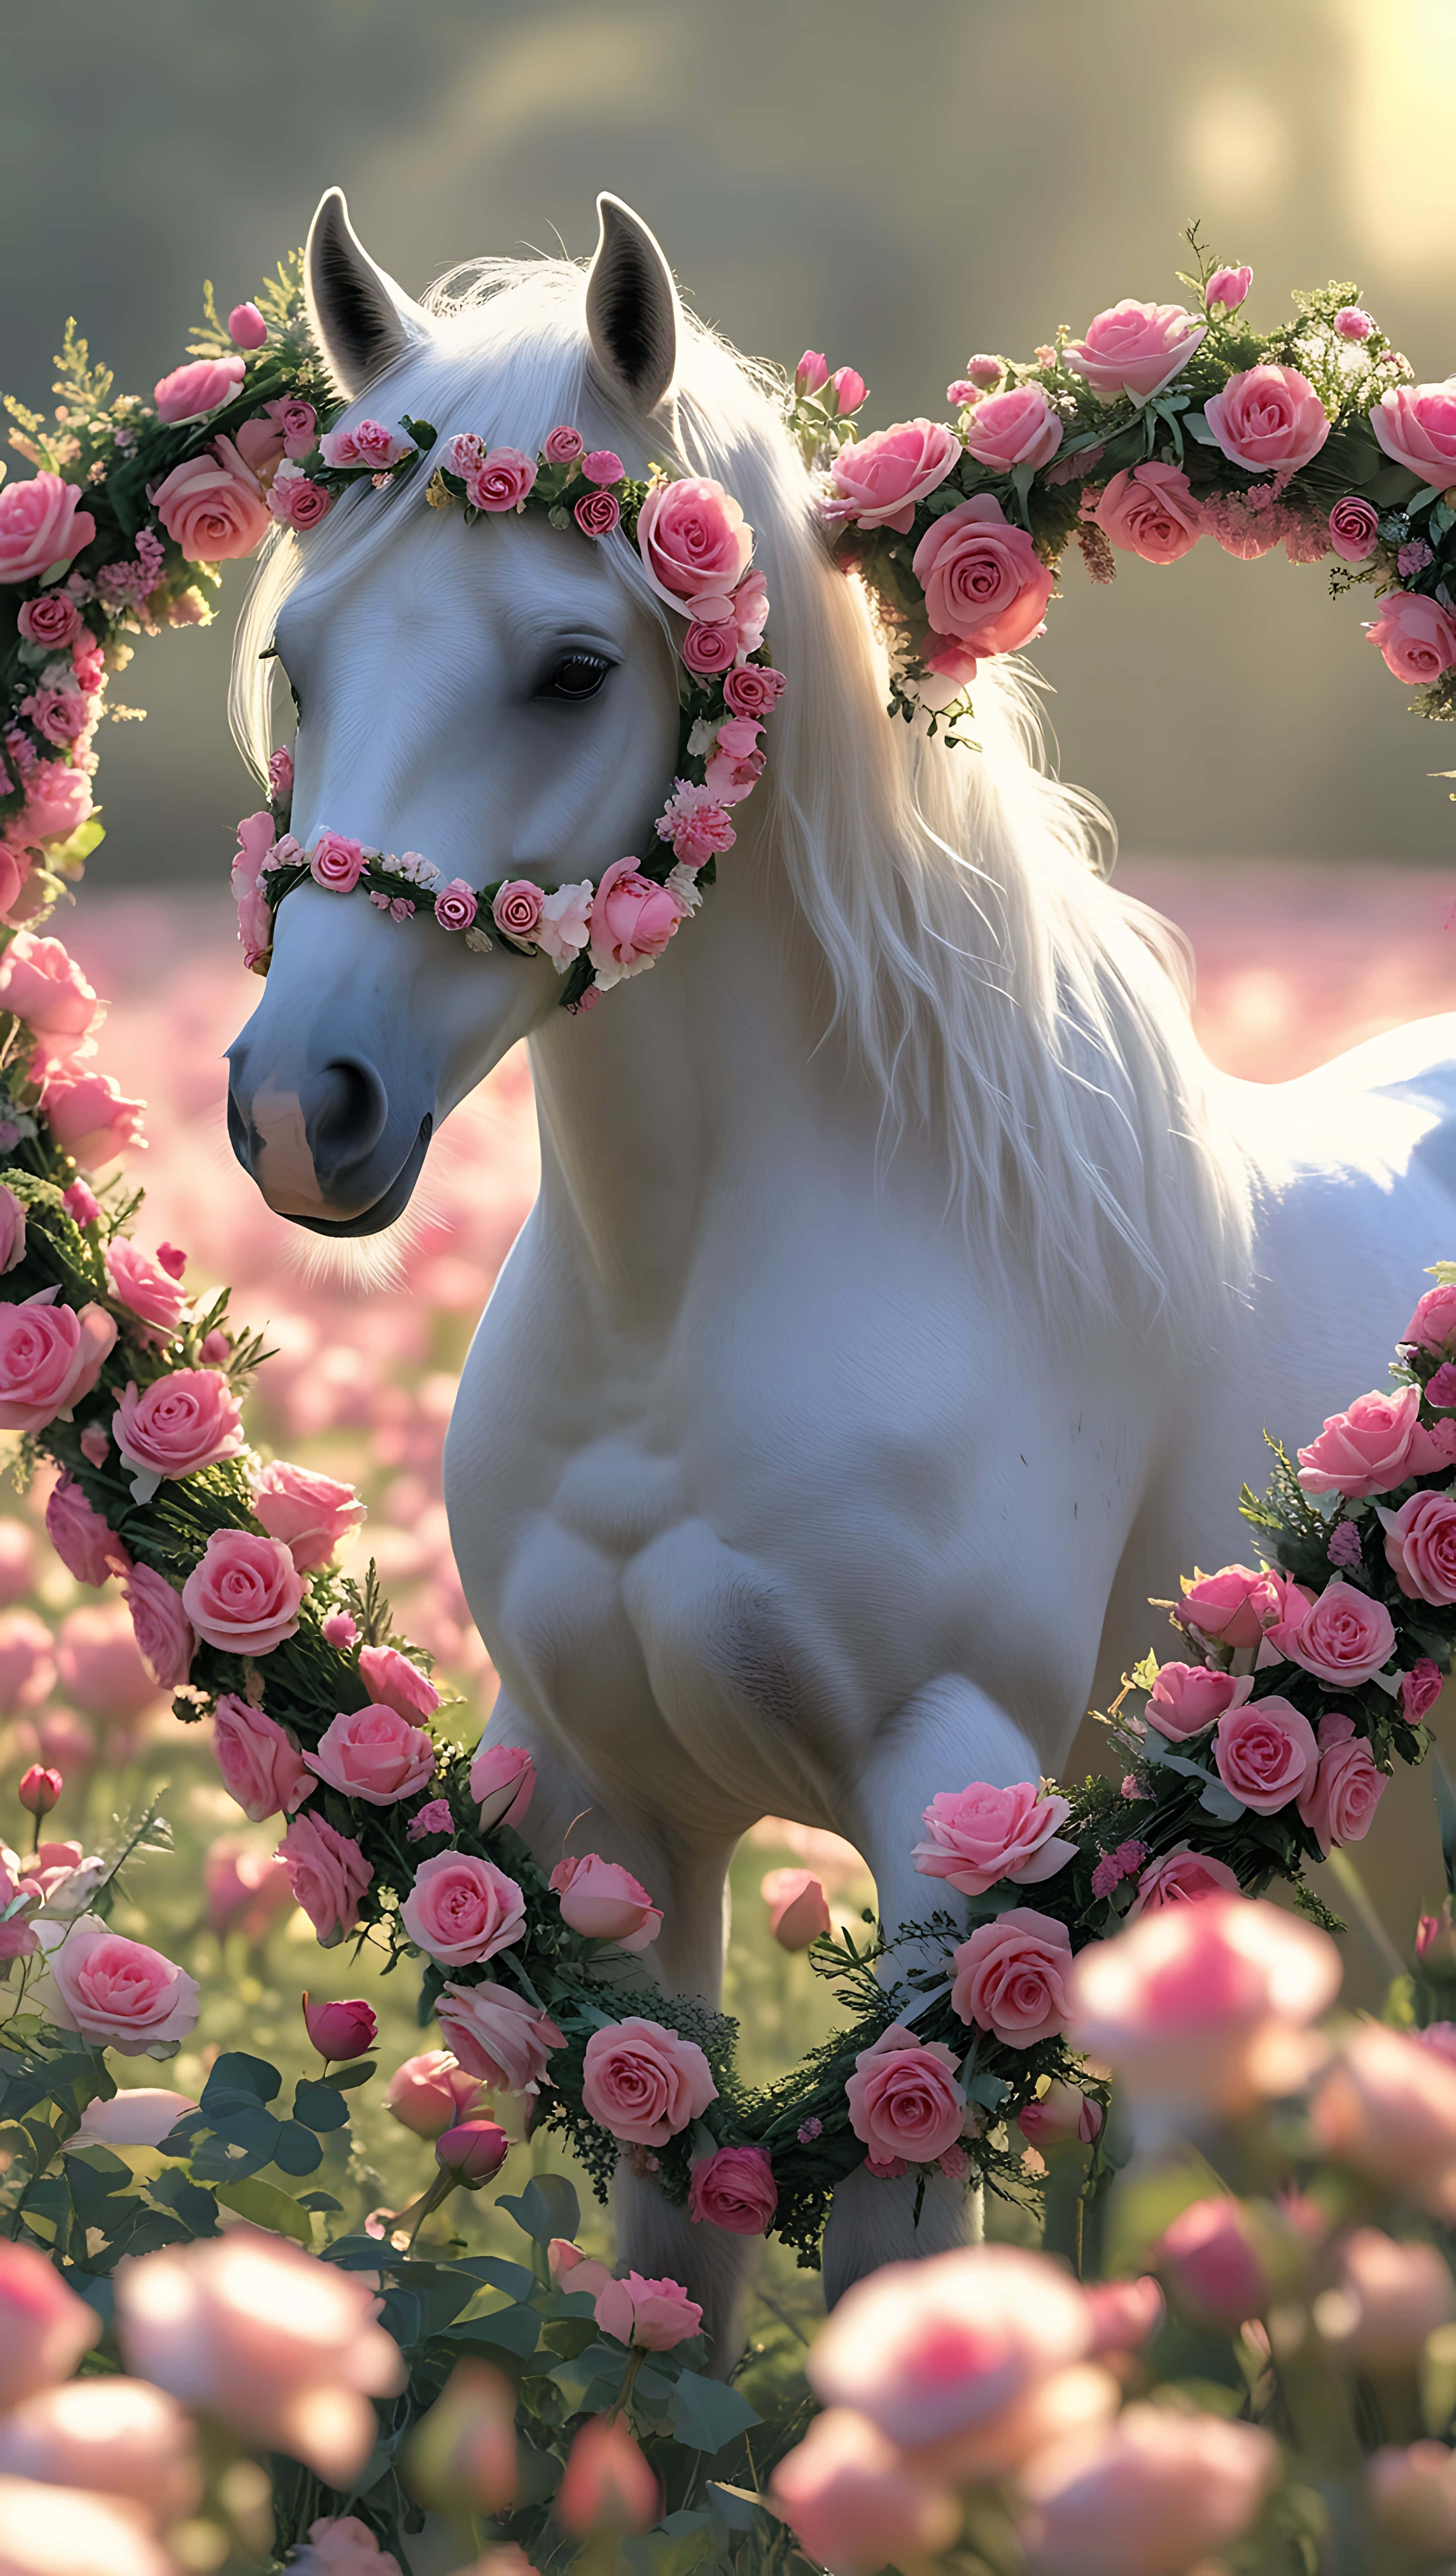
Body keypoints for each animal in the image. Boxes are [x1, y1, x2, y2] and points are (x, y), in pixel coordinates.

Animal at [224, 187, 1456, 2346]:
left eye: (572, 665)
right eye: (298, 662)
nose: (306, 1106)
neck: (692, 1297)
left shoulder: (954, 1814)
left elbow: (895, 2250)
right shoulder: (613, 1822)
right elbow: (671, 2279)